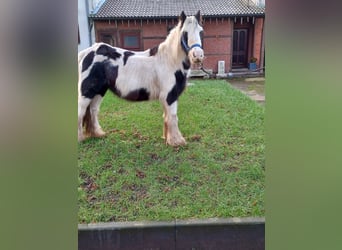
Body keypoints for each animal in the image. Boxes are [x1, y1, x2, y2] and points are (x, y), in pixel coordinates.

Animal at [79, 10, 204, 146]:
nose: (197, 55)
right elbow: (173, 116)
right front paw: (177, 141)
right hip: (87, 91)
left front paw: (167, 139)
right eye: (185, 33)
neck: (170, 61)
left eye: (201, 31)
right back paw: (80, 138)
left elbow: (166, 116)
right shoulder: (170, 95)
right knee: (81, 112)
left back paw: (98, 134)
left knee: (93, 110)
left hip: (99, 91)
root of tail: (86, 52)